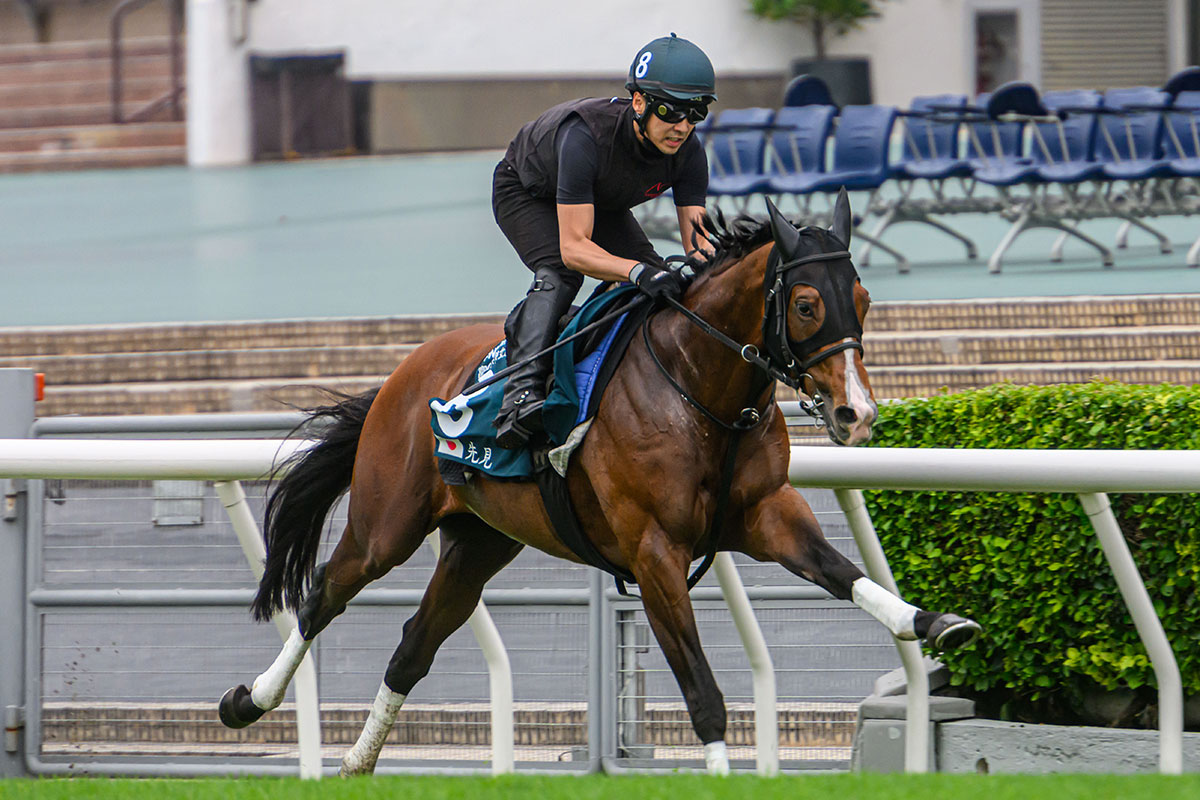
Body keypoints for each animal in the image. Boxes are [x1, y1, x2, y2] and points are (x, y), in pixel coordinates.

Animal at [220, 189, 979, 777]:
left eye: (863, 298)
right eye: (805, 305)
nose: (858, 413)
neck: (700, 388)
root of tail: (401, 375)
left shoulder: (766, 515)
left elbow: (844, 573)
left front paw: (937, 622)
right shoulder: (654, 553)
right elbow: (702, 689)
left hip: (479, 543)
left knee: (413, 646)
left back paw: (358, 761)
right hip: (388, 522)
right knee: (323, 594)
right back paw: (249, 701)